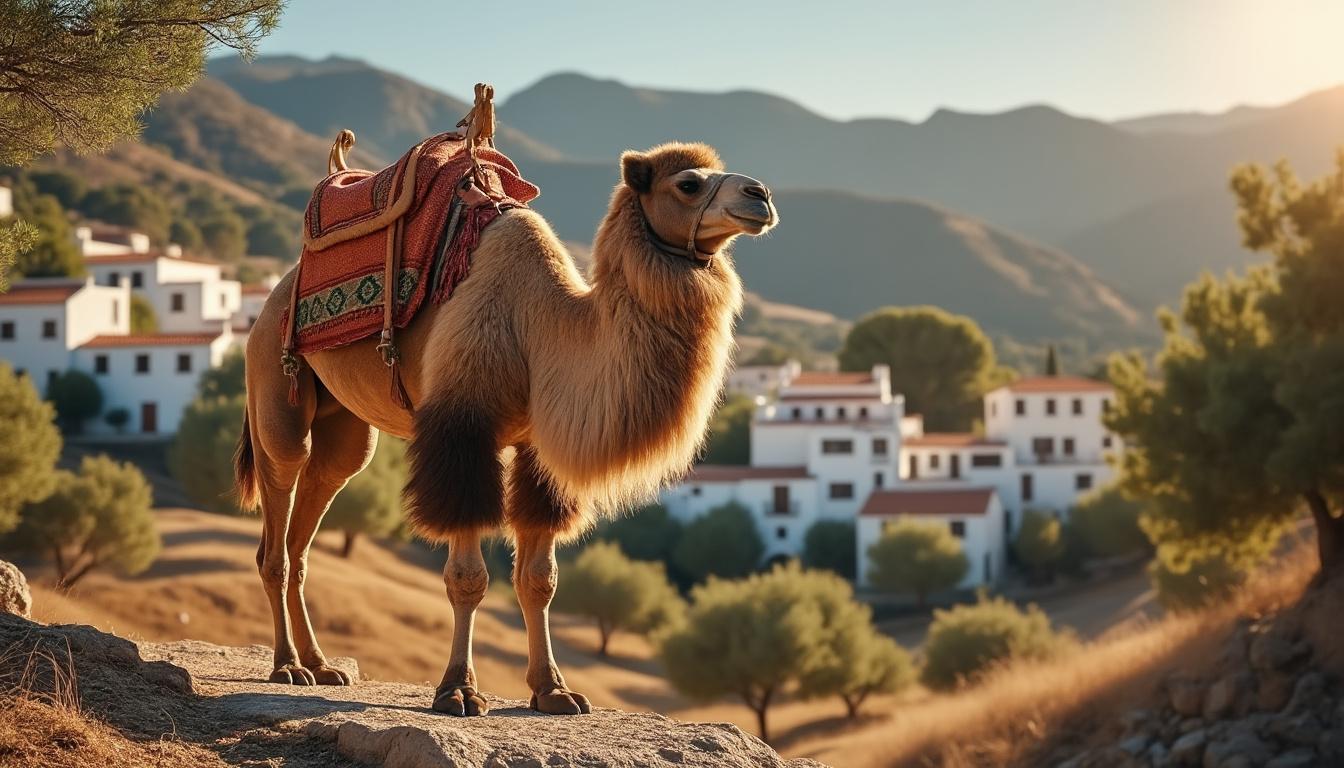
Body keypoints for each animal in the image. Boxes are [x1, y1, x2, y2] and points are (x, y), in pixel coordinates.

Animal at [234, 140, 777, 716]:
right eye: (689, 184)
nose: (760, 195)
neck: (542, 328)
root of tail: (273, 295)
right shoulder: (463, 430)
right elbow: (467, 579)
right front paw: (457, 690)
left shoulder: (536, 450)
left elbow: (539, 580)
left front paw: (554, 690)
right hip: (274, 384)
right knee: (277, 524)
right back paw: (287, 667)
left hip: (347, 429)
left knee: (312, 519)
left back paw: (321, 666)